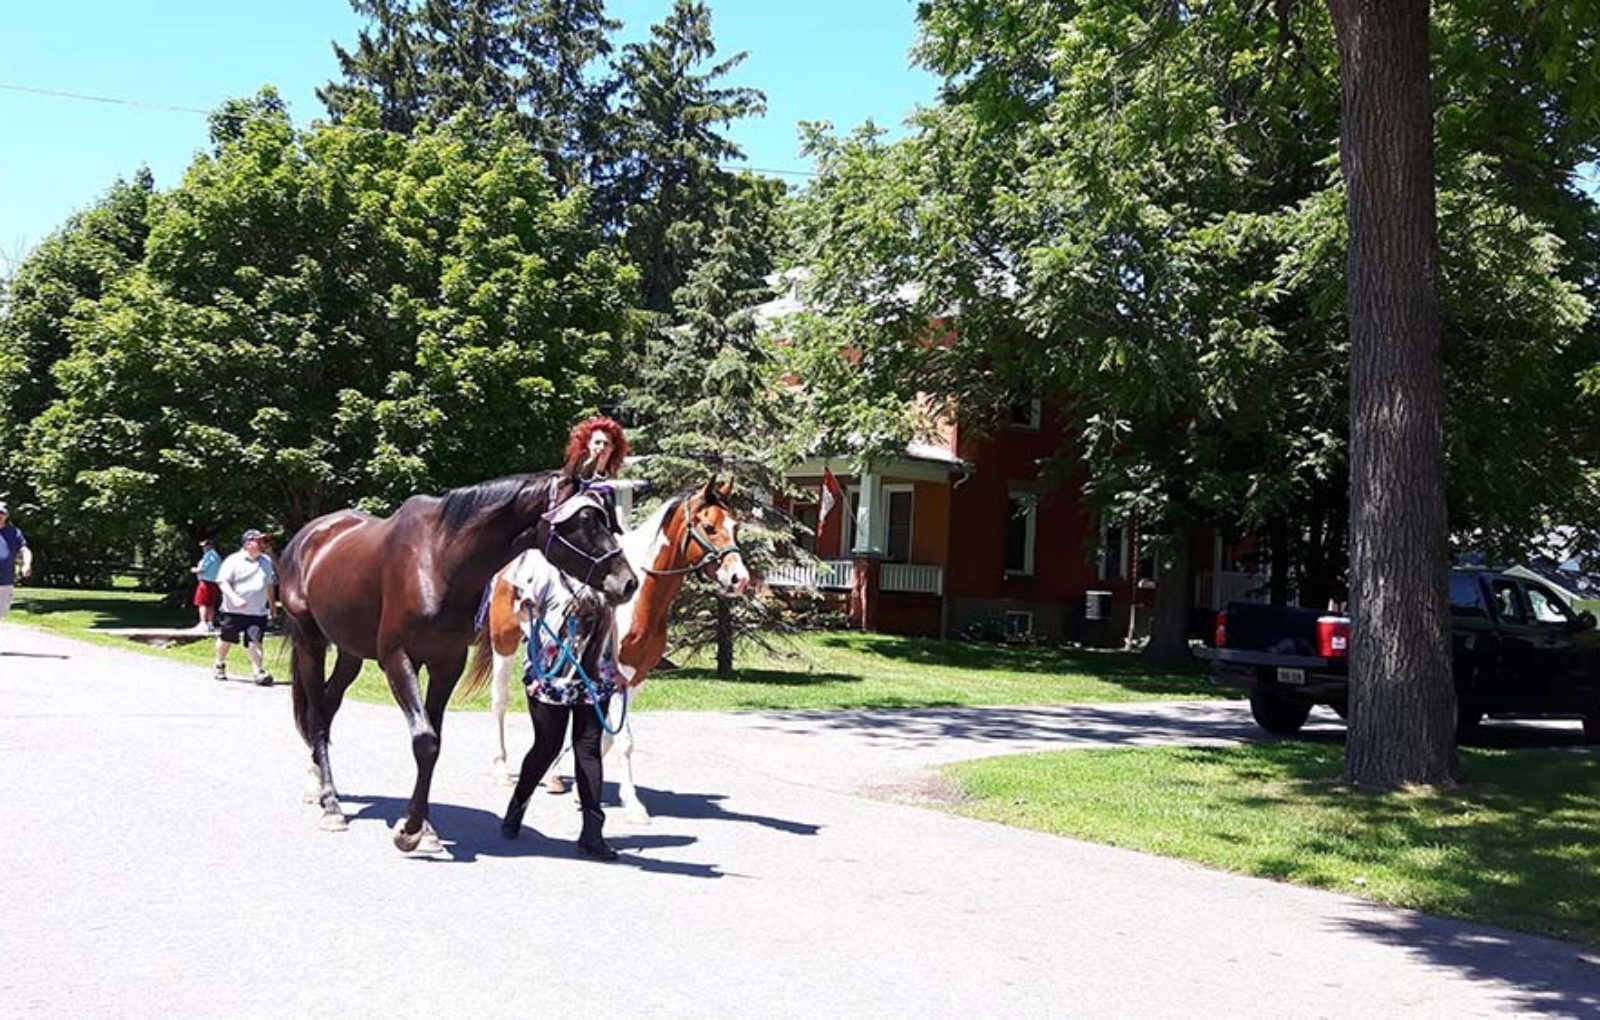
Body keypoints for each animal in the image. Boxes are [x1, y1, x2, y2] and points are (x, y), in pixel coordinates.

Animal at [279, 468, 638, 853]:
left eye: (605, 518)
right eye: (583, 520)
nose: (628, 582)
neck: (438, 560)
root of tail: (307, 537)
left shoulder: (447, 663)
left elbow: (433, 741)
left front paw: (424, 827)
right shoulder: (397, 659)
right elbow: (424, 740)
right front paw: (410, 830)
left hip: (350, 652)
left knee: (328, 707)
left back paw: (318, 783)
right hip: (310, 642)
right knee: (316, 714)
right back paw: (330, 803)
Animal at [467, 479, 751, 820]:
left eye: (736, 527)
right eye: (709, 527)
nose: (739, 579)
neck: (641, 597)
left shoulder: (635, 677)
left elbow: (607, 737)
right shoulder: (616, 674)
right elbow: (623, 740)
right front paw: (633, 805)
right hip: (504, 642)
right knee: (500, 701)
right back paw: (501, 769)